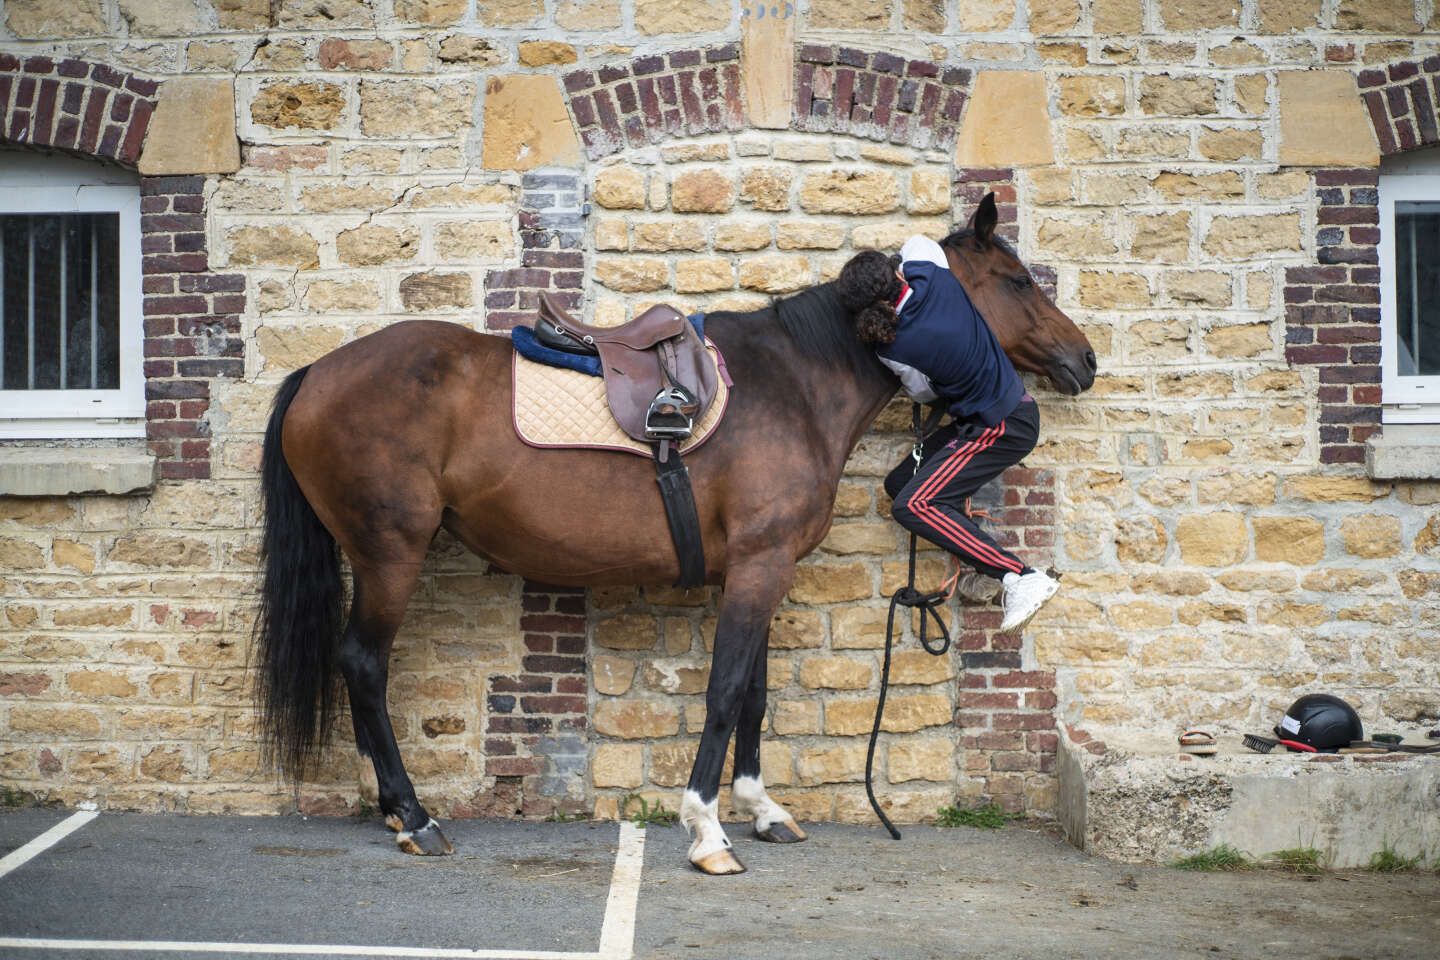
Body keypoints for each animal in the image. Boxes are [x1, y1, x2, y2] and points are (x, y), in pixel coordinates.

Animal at [256, 191, 1088, 875]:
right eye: (1016, 280)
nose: (1084, 359)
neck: (792, 384)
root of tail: (316, 374)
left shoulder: (762, 572)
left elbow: (753, 693)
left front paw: (762, 810)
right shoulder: (757, 568)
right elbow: (723, 691)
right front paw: (708, 831)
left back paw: (399, 814)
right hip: (389, 554)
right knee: (363, 664)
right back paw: (416, 815)